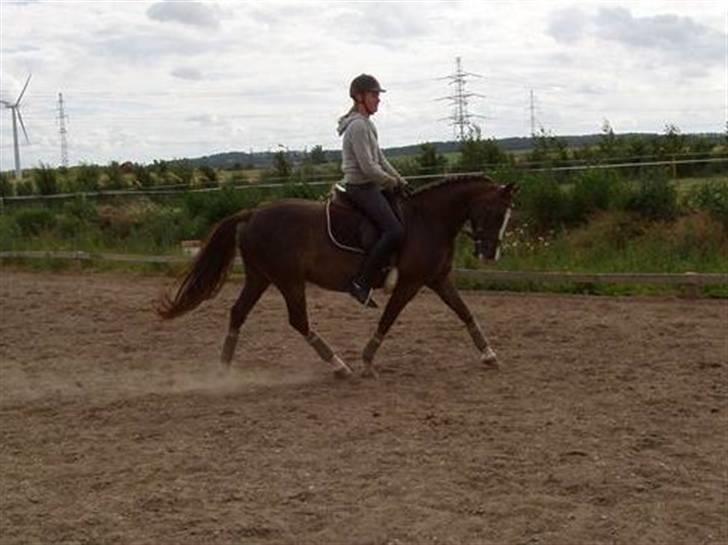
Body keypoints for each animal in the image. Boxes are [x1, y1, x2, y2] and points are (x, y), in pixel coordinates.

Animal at [156, 174, 516, 378]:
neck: (428, 220)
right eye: (495, 212)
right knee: (298, 321)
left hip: (261, 277)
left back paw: (223, 369)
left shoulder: (438, 279)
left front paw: (490, 355)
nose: (490, 254)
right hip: (288, 280)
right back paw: (339, 365)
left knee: (238, 313)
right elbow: (388, 318)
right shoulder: (411, 283)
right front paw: (367, 360)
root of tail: (253, 212)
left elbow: (464, 312)